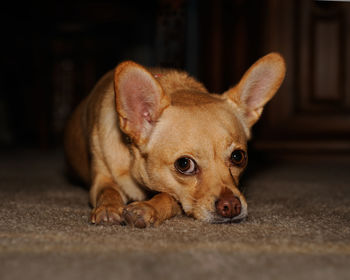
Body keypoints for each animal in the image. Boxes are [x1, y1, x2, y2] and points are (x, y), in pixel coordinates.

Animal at [64, 52, 286, 228]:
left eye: (238, 157)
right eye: (184, 164)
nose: (231, 206)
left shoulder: (176, 197)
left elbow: (168, 197)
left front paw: (146, 208)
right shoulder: (100, 180)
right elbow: (108, 191)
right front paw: (109, 208)